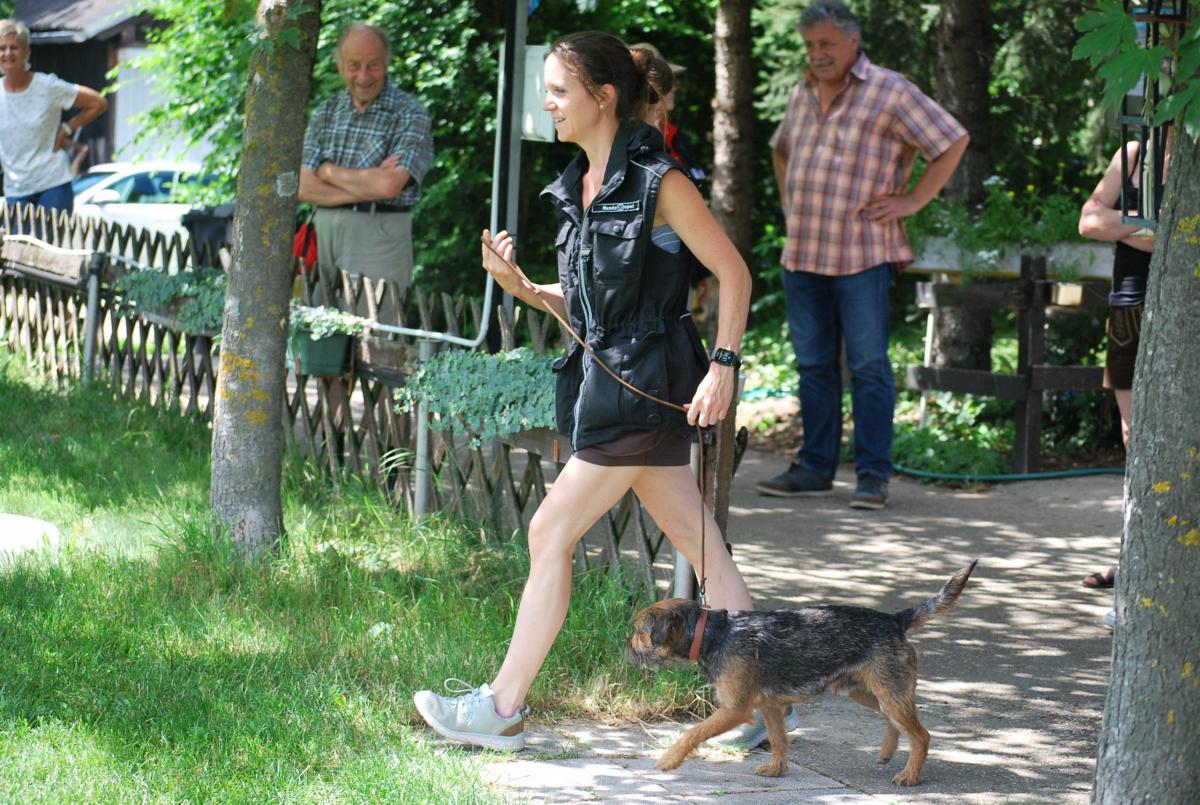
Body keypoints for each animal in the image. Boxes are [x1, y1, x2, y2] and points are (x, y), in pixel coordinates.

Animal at [626, 561, 977, 785]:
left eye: (639, 632)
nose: (625, 648)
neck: (716, 633)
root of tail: (895, 619)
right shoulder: (768, 706)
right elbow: (779, 740)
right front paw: (776, 769)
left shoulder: (735, 709)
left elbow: (693, 733)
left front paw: (670, 759)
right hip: (866, 691)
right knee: (894, 721)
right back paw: (887, 752)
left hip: (889, 692)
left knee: (921, 735)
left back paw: (909, 775)